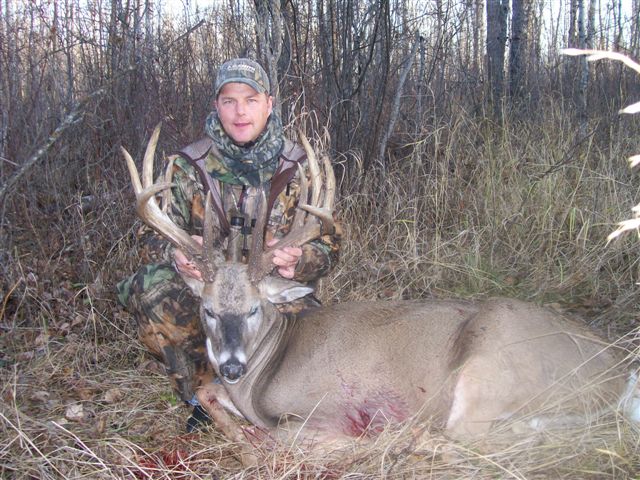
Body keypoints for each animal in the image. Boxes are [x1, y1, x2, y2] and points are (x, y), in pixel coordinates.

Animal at [122, 125, 639, 465]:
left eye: (253, 309)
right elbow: (204, 391)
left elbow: (281, 439)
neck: (264, 372)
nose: (231, 365)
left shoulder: (326, 409)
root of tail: (617, 373)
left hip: (491, 368)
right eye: (208, 310)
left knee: (480, 439)